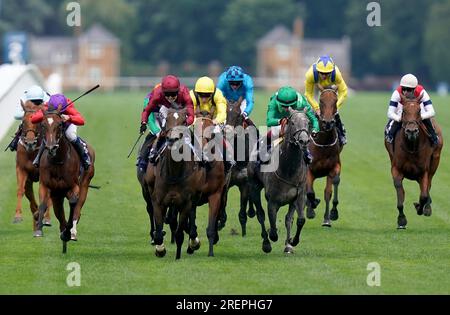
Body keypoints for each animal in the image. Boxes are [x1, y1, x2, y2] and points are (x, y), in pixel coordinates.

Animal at [14, 100, 51, 228]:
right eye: (23, 121)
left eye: (38, 123)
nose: (30, 143)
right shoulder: (21, 169)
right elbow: (21, 190)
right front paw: (17, 216)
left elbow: (44, 194)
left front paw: (43, 215)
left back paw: (46, 217)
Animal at [35, 106, 95, 254]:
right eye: (43, 125)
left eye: (60, 125)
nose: (51, 147)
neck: (58, 160)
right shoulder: (46, 185)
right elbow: (43, 204)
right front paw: (38, 230)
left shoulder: (73, 187)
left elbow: (73, 203)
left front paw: (68, 232)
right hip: (57, 195)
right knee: (59, 213)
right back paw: (63, 233)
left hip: (85, 184)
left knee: (77, 208)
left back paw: (71, 232)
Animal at [248, 110, 312, 256]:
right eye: (292, 122)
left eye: (308, 122)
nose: (304, 141)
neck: (288, 169)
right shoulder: (272, 201)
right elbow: (272, 224)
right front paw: (272, 236)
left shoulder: (299, 195)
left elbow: (298, 220)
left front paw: (292, 242)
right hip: (254, 187)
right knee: (260, 215)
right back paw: (266, 243)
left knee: (288, 219)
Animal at [306, 86, 344, 228]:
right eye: (321, 101)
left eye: (335, 100)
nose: (328, 122)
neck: (323, 143)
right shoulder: (308, 169)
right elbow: (309, 191)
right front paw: (310, 211)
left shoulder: (333, 167)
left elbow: (329, 191)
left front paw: (329, 216)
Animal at [384, 94, 442, 230]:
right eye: (404, 111)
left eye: (419, 111)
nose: (411, 131)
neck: (411, 147)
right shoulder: (396, 169)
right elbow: (400, 194)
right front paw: (401, 220)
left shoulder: (423, 171)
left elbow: (424, 195)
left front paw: (421, 208)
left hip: (435, 160)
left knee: (429, 184)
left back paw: (427, 207)